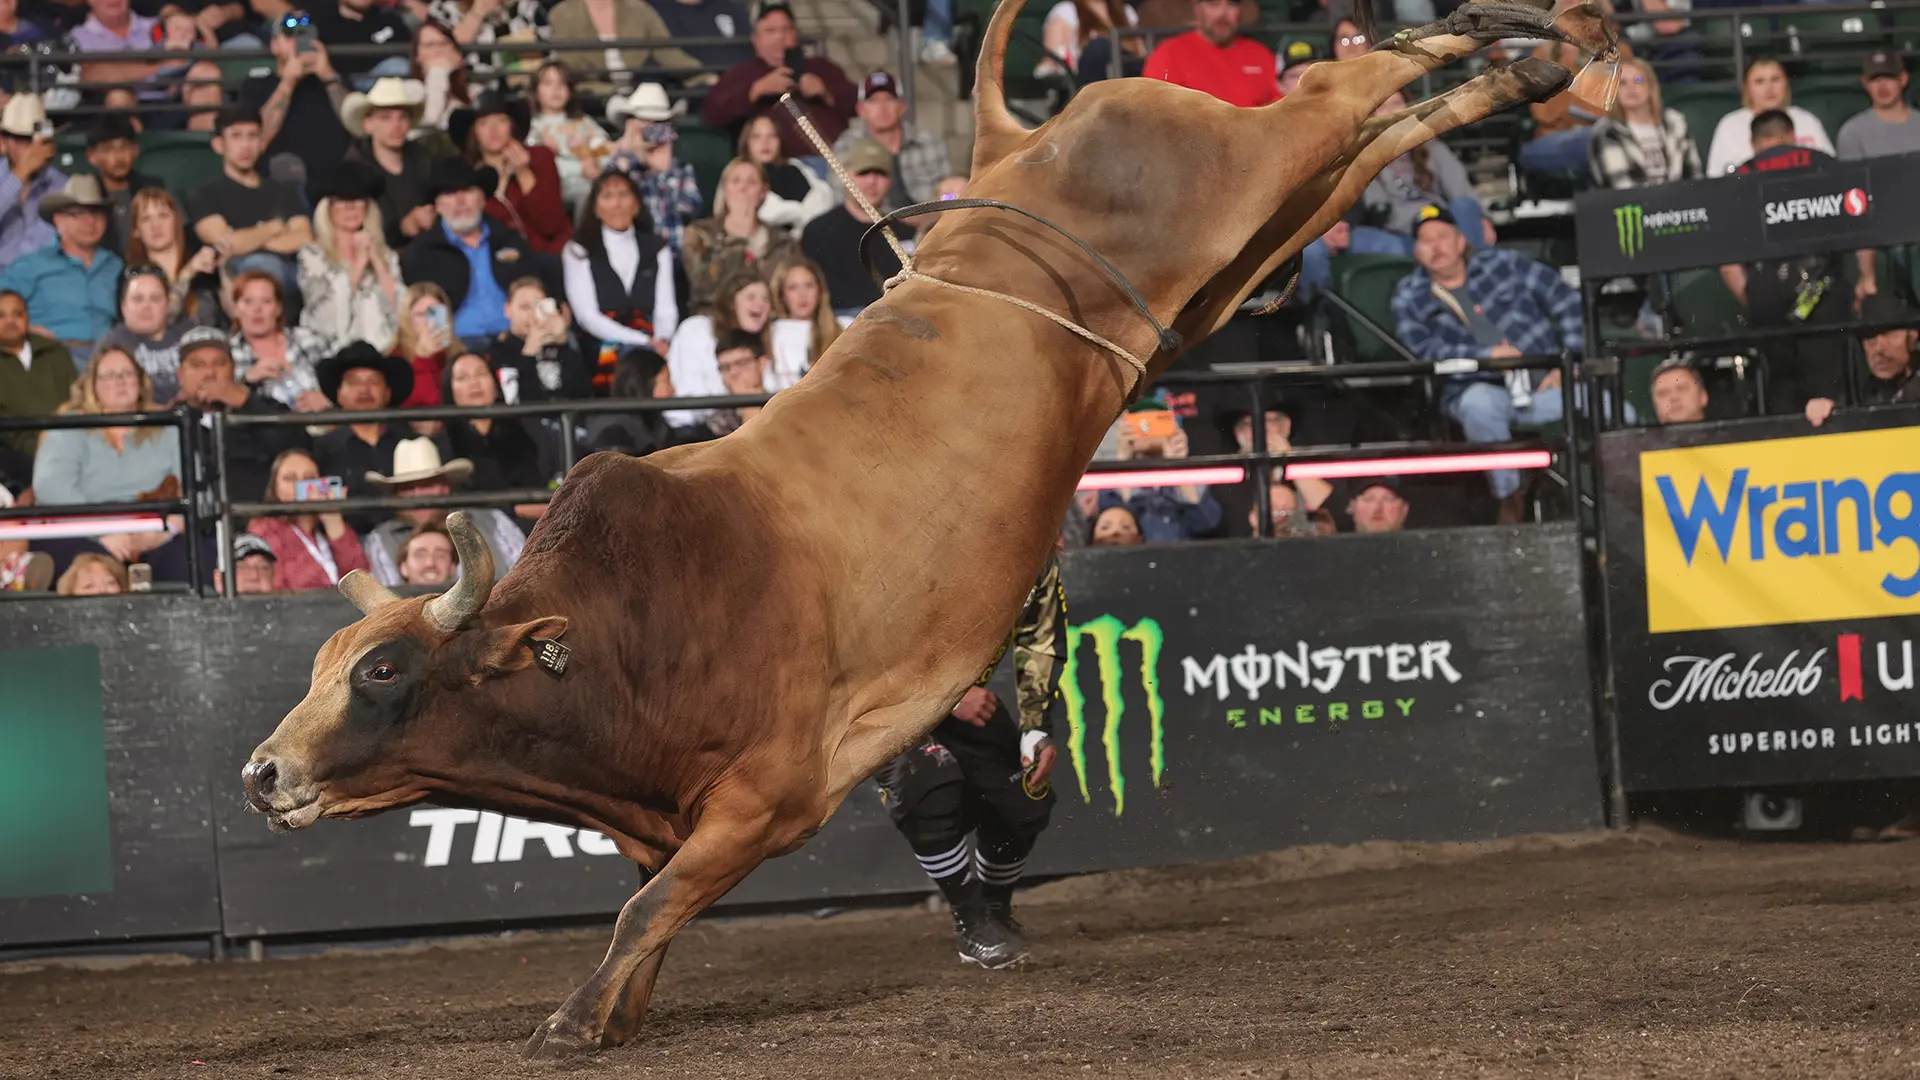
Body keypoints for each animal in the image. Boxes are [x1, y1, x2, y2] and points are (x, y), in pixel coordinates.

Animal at [243, 0, 1617, 1058]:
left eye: (382, 671)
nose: (260, 773)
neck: (624, 622)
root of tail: (1016, 144)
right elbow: (654, 914)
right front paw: (618, 1015)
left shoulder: (770, 798)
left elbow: (649, 911)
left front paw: (573, 1022)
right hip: (1248, 246)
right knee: (1376, 130)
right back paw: (1534, 66)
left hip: (1253, 163)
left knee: (1352, 81)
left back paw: (1543, 39)